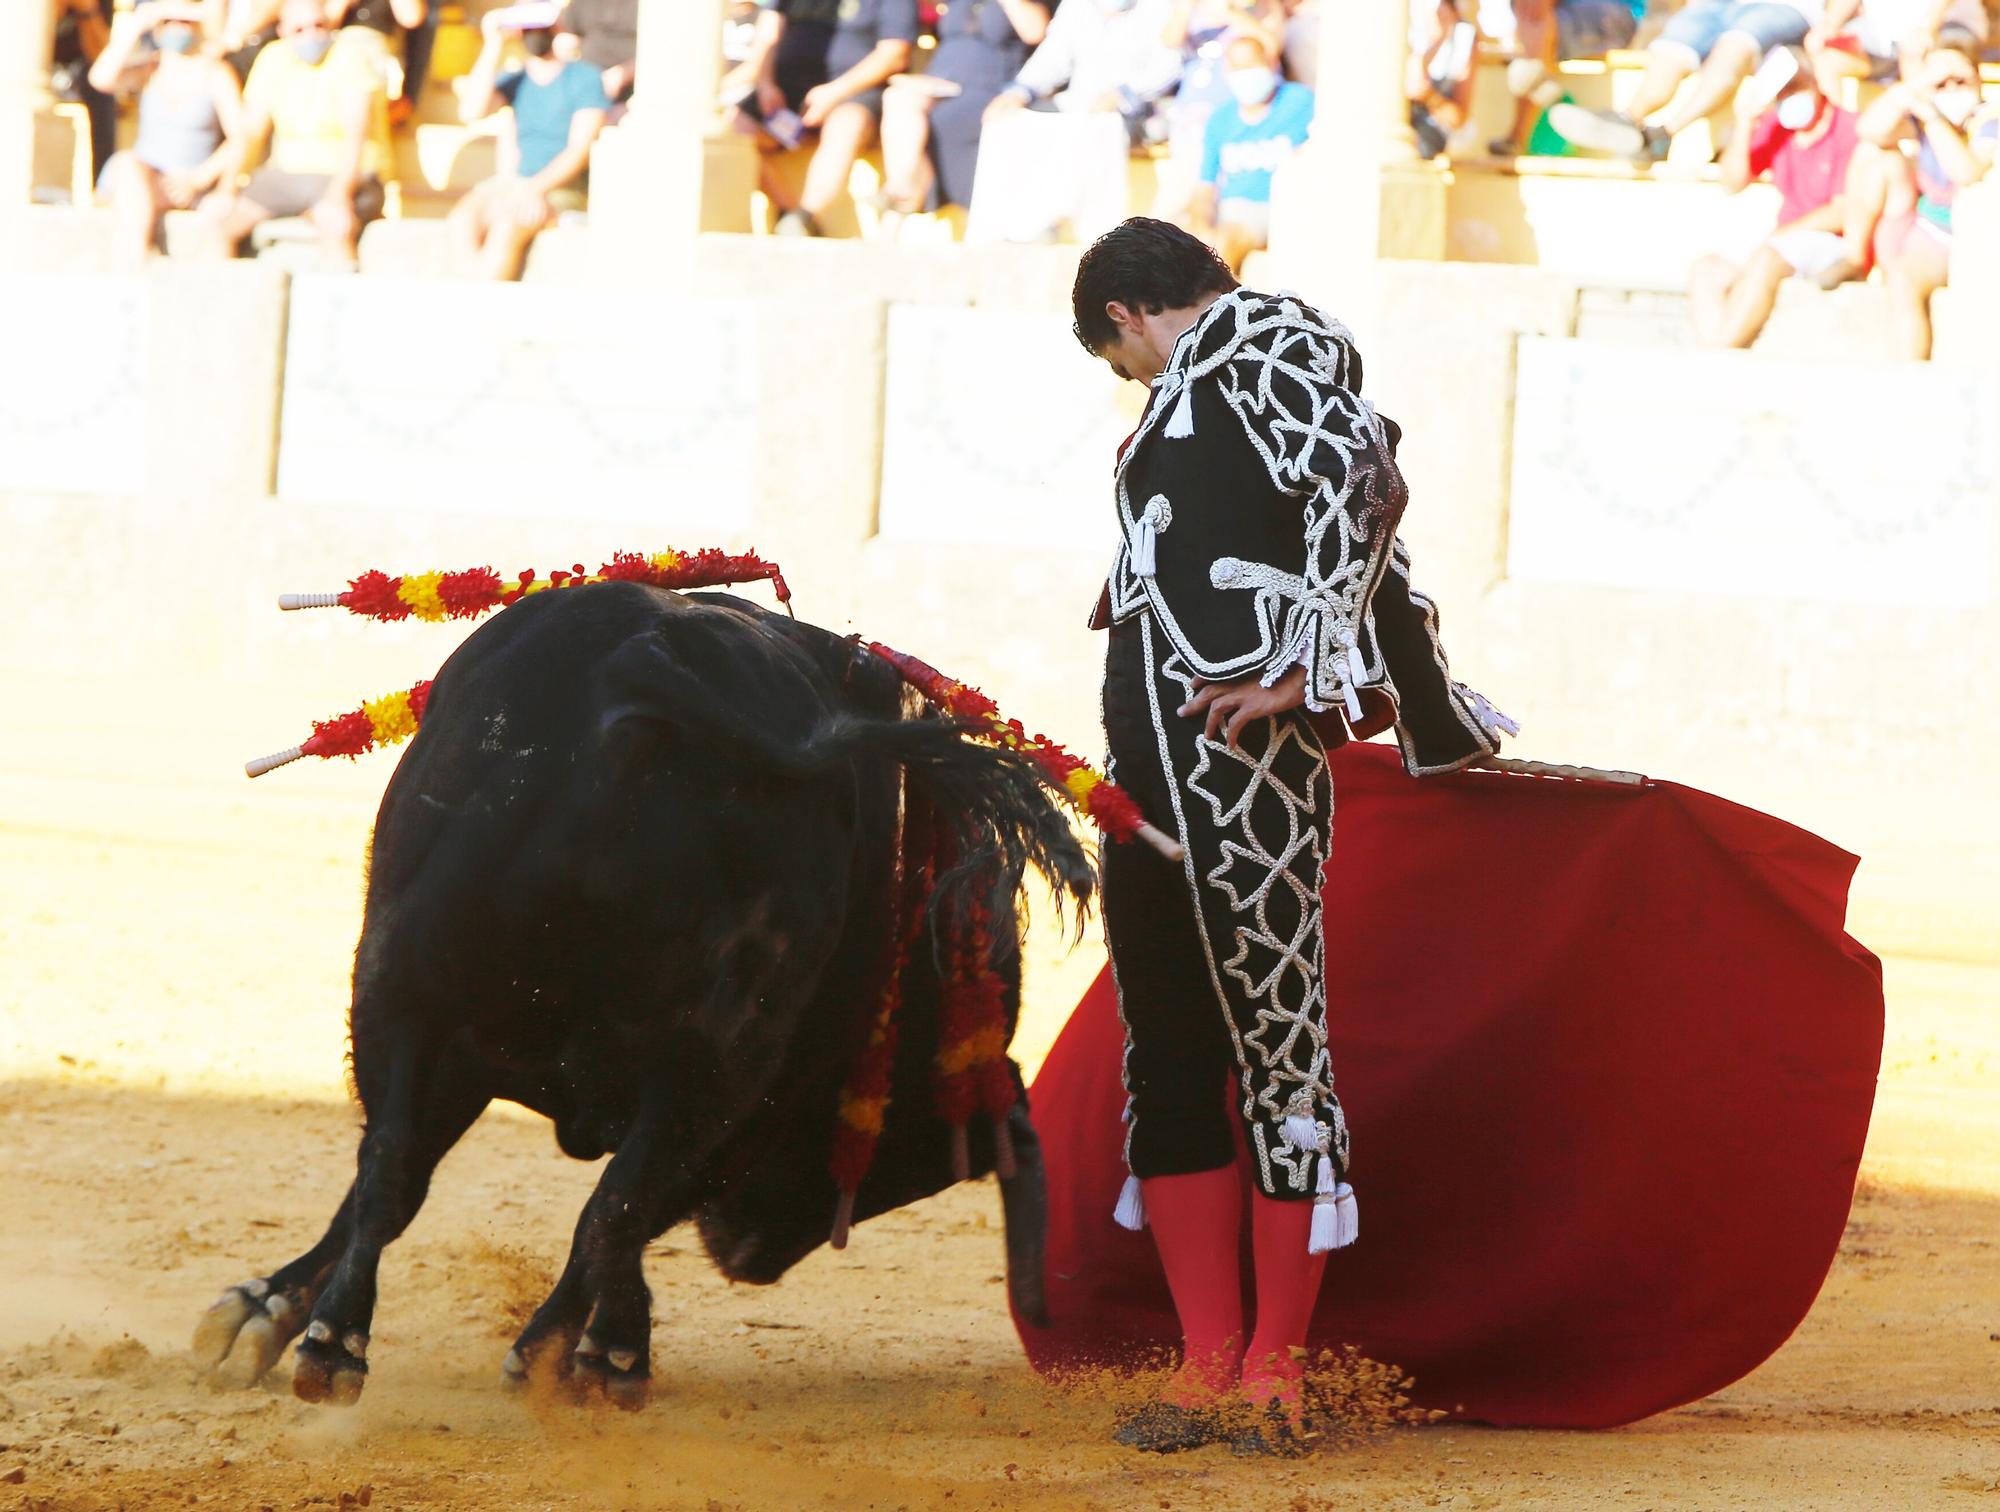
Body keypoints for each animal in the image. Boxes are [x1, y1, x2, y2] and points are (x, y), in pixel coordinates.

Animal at [191, 588, 1096, 1408]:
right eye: (902, 1168)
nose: (752, 1256)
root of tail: (651, 659)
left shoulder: (457, 1039)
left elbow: (407, 1176)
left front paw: (264, 1313)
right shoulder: (754, 1110)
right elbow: (632, 1206)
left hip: (404, 975)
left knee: (396, 1165)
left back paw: (339, 1346)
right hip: (718, 1057)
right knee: (599, 1197)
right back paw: (601, 1359)